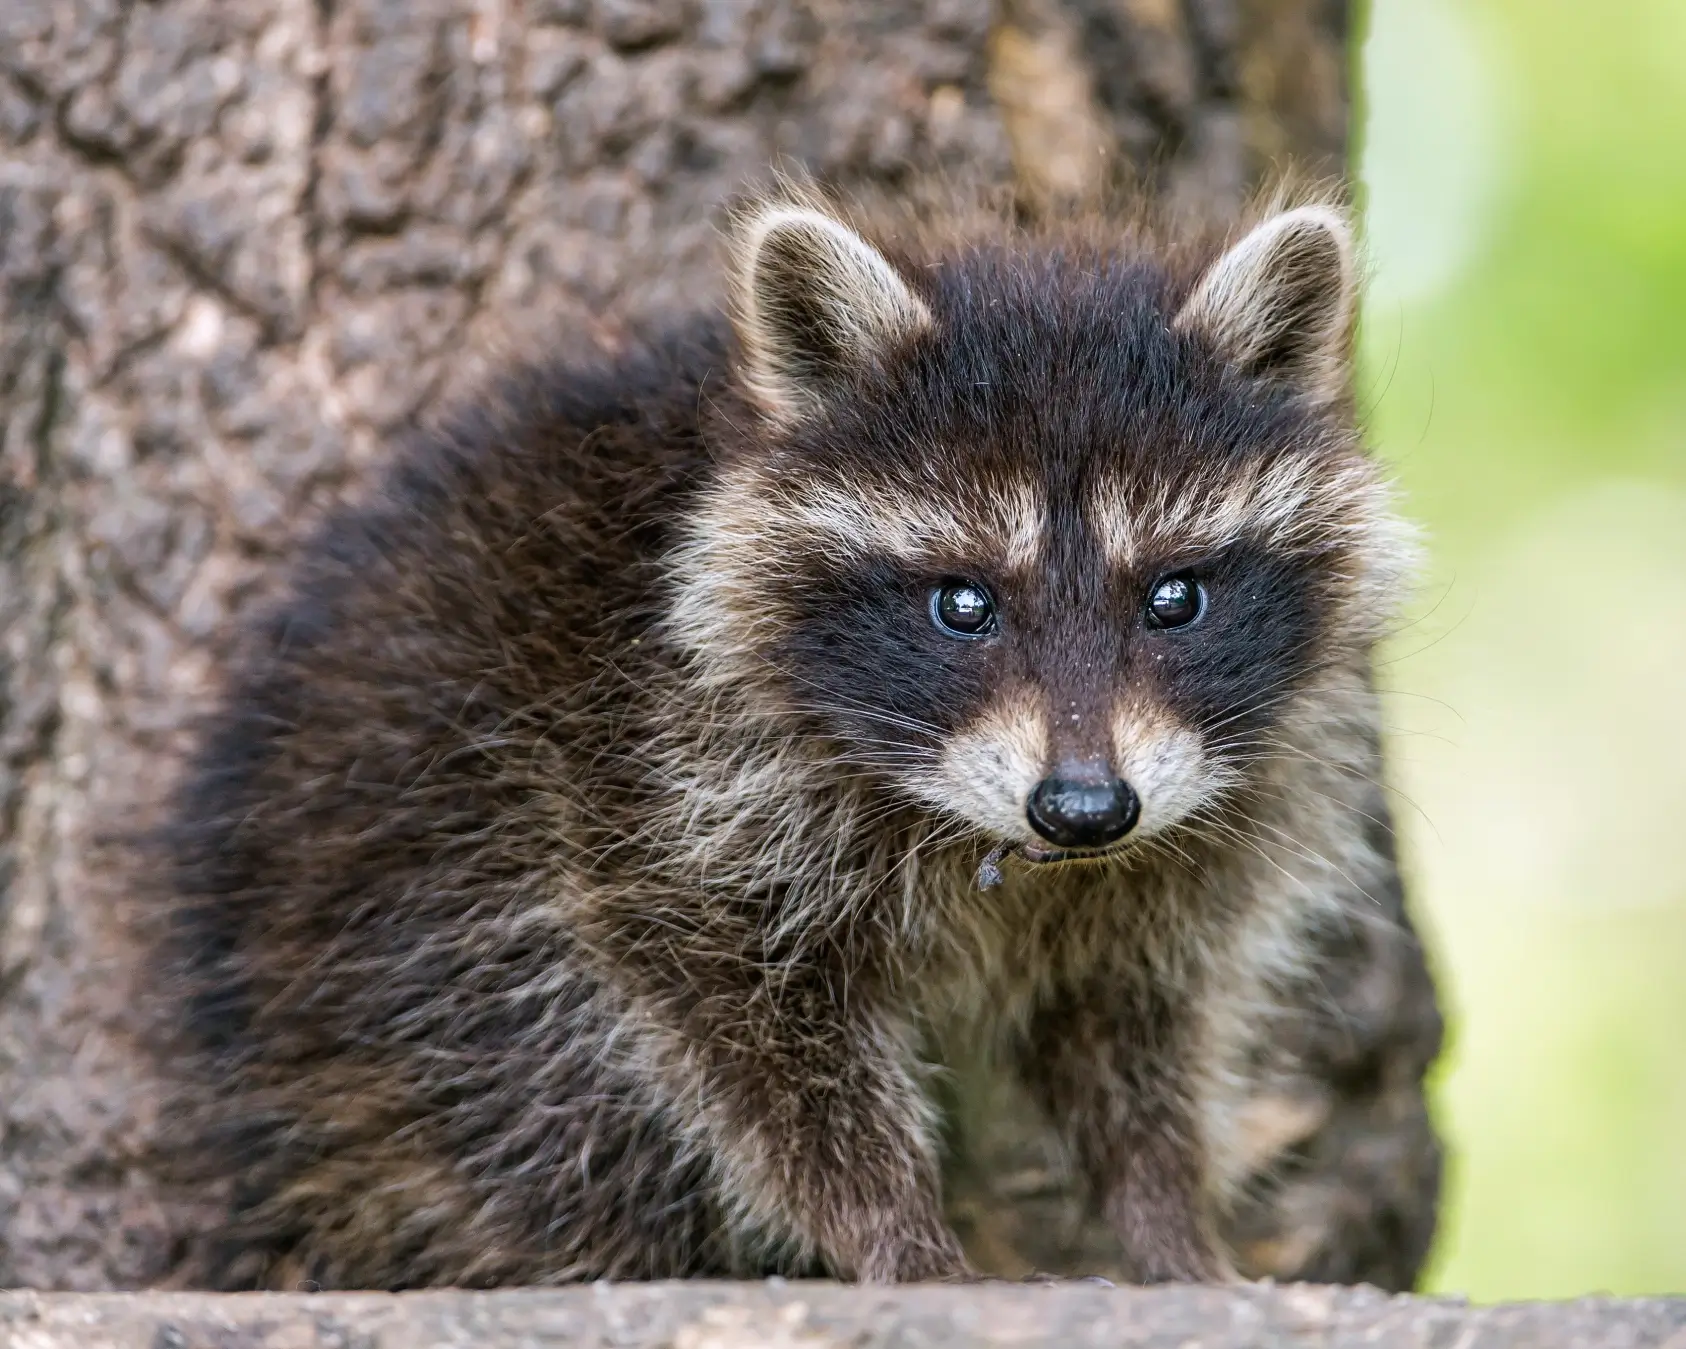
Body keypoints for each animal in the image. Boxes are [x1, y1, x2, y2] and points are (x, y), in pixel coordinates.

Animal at [161, 184, 1422, 1288]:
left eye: (1174, 597)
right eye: (963, 601)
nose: (1082, 807)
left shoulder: (1185, 838)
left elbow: (1131, 1028)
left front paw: (1169, 1219)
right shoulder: (659, 772)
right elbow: (755, 1036)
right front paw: (893, 1226)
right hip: (418, 887)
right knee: (542, 1076)